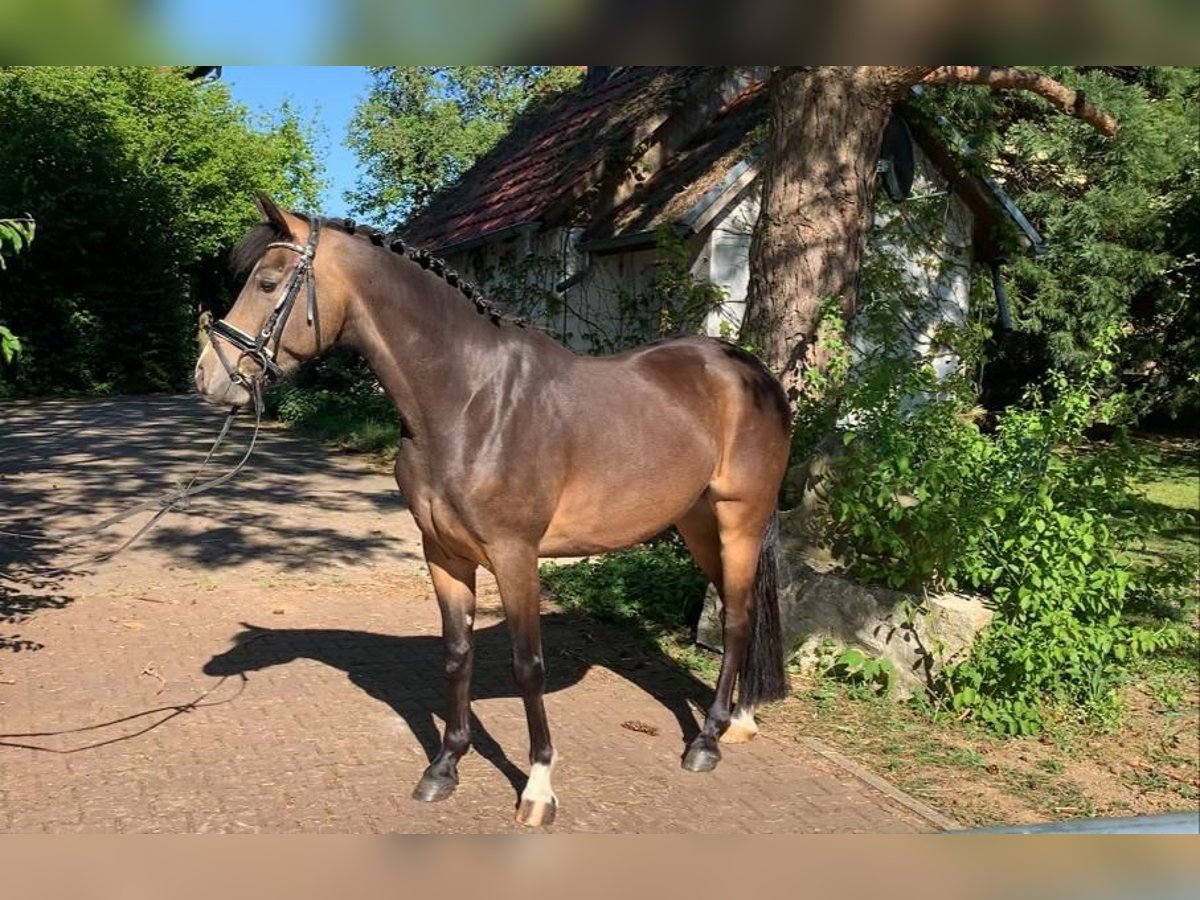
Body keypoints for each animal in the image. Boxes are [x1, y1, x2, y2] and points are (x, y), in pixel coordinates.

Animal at [192, 194, 792, 830]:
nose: (207, 375)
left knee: (736, 619)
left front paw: (539, 788)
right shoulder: (443, 553)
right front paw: (444, 767)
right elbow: (458, 654)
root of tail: (749, 370)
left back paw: (707, 740)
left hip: (739, 519)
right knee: (740, 609)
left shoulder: (514, 555)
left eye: (268, 282)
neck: (470, 401)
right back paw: (741, 721)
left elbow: (528, 665)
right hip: (698, 523)